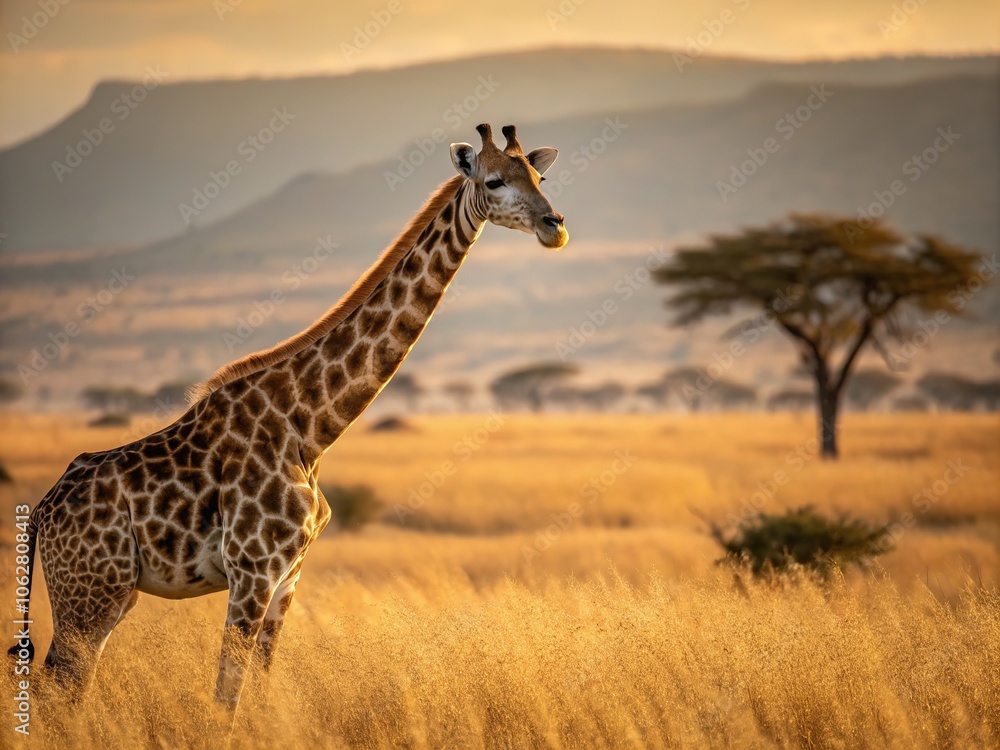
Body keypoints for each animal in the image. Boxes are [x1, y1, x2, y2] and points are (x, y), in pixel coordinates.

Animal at [8, 124, 567, 717]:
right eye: (494, 180)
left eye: (539, 176)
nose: (554, 227)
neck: (311, 427)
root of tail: (42, 512)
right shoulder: (252, 571)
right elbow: (226, 697)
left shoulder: (288, 577)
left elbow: (259, 688)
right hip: (90, 592)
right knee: (59, 690)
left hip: (109, 594)